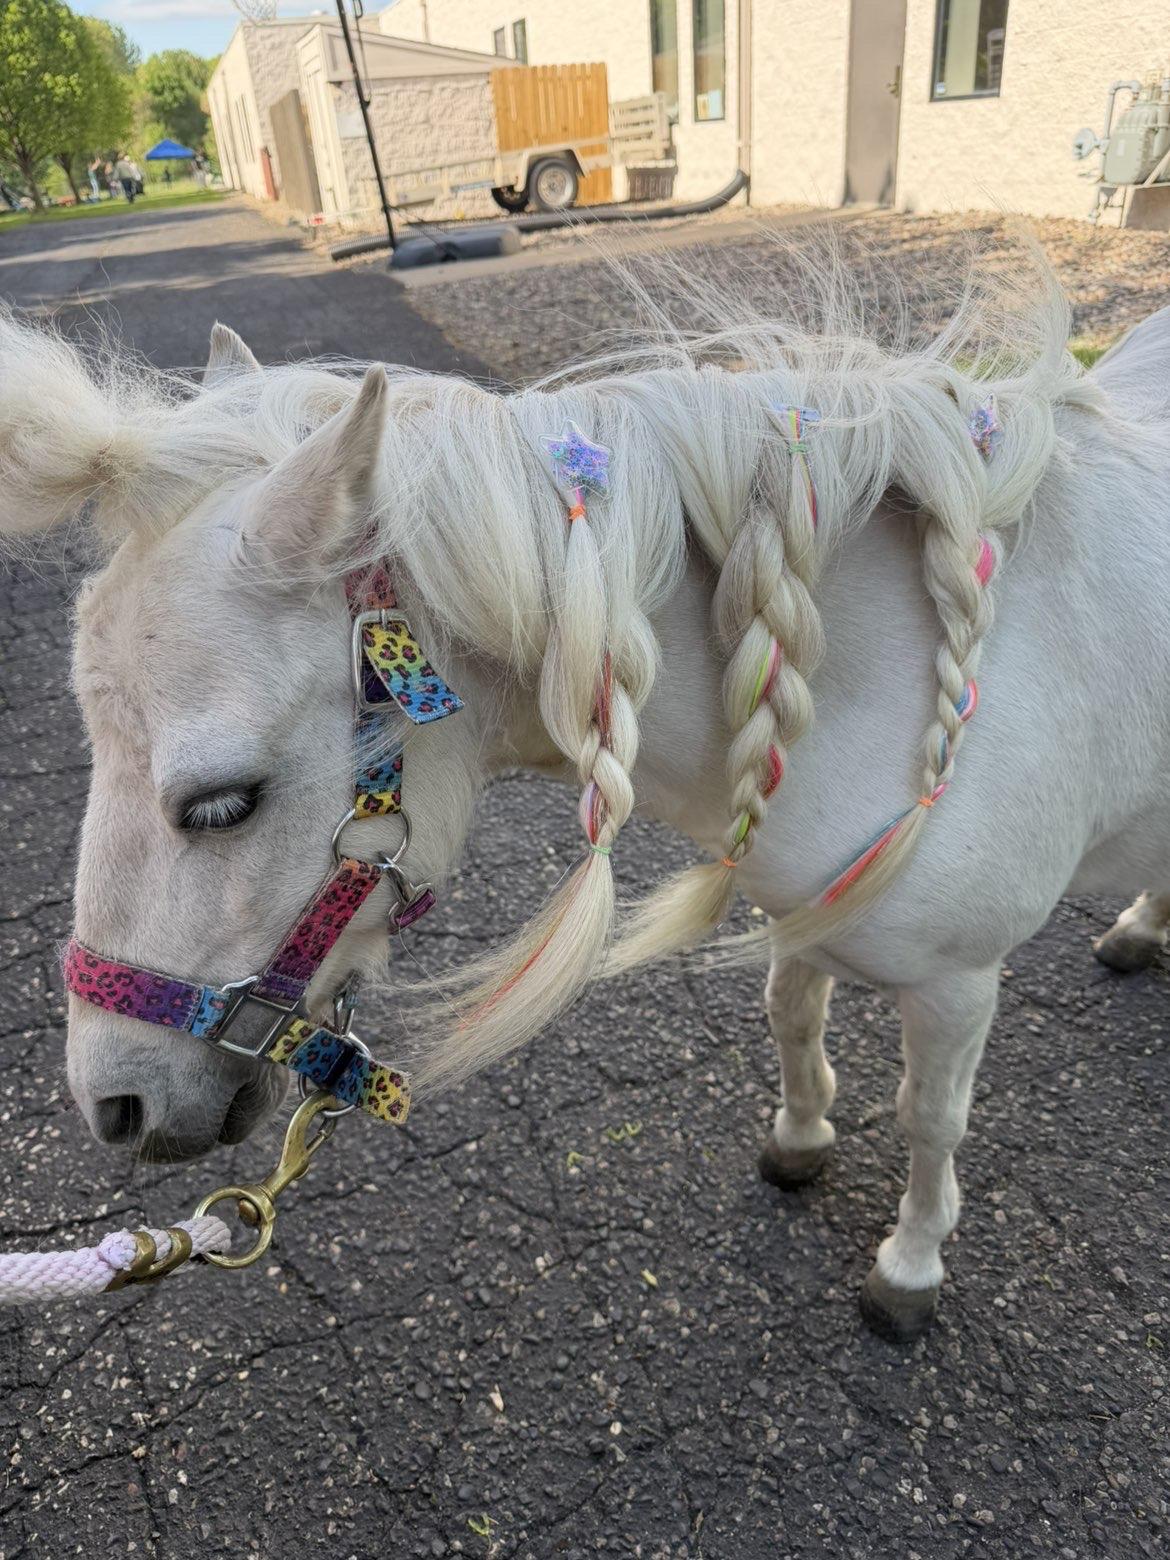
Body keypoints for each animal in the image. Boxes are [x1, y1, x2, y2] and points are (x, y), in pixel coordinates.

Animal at [2, 245, 1167, 1343]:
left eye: (221, 802)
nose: (113, 1104)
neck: (885, 674)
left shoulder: (960, 983)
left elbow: (931, 1120)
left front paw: (910, 1266)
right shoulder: (798, 914)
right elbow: (792, 1020)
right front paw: (800, 1141)